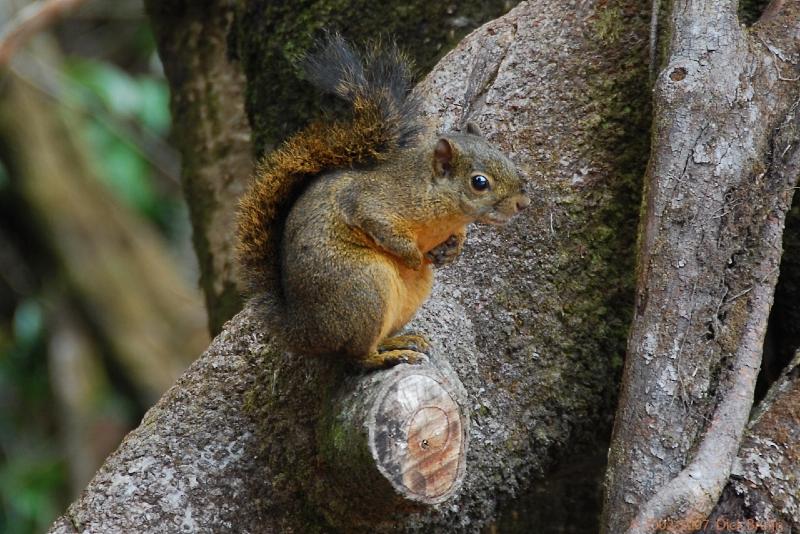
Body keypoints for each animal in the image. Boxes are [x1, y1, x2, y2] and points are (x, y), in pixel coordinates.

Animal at [234, 35, 528, 370]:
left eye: (506, 157)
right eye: (479, 182)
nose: (522, 203)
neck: (434, 197)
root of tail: (305, 332)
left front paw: (455, 247)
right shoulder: (373, 203)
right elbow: (382, 227)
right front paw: (413, 258)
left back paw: (399, 340)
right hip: (366, 287)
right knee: (357, 355)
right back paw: (390, 354)